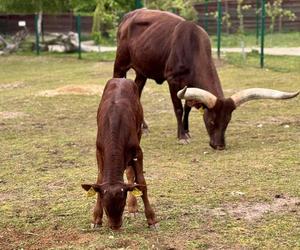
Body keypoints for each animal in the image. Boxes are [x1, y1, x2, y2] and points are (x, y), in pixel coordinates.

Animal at [82, 78, 157, 230]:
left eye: (122, 205)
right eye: (105, 207)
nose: (115, 227)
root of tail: (122, 78)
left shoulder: (137, 151)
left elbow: (141, 183)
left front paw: (151, 219)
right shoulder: (99, 151)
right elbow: (99, 180)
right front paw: (96, 218)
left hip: (139, 131)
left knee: (130, 174)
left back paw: (133, 207)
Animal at [113, 9, 298, 150]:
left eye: (228, 121)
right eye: (211, 121)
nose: (219, 145)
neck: (191, 46)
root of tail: (129, 15)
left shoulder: (189, 85)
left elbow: (188, 107)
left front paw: (187, 130)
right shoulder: (173, 81)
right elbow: (178, 108)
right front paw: (182, 136)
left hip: (142, 70)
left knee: (137, 89)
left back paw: (143, 126)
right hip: (121, 64)